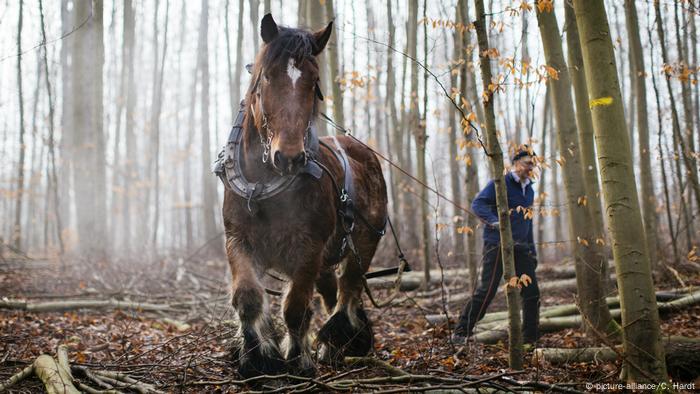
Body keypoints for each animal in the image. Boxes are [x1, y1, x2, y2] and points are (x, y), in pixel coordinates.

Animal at [221, 14, 388, 378]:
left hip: (364, 242)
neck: (264, 185)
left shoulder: (309, 249)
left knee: (348, 290)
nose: (289, 157)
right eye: (267, 76)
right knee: (331, 292)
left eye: (314, 82)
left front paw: (298, 358)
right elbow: (247, 296)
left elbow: (296, 306)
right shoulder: (238, 239)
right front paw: (256, 357)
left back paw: (341, 340)